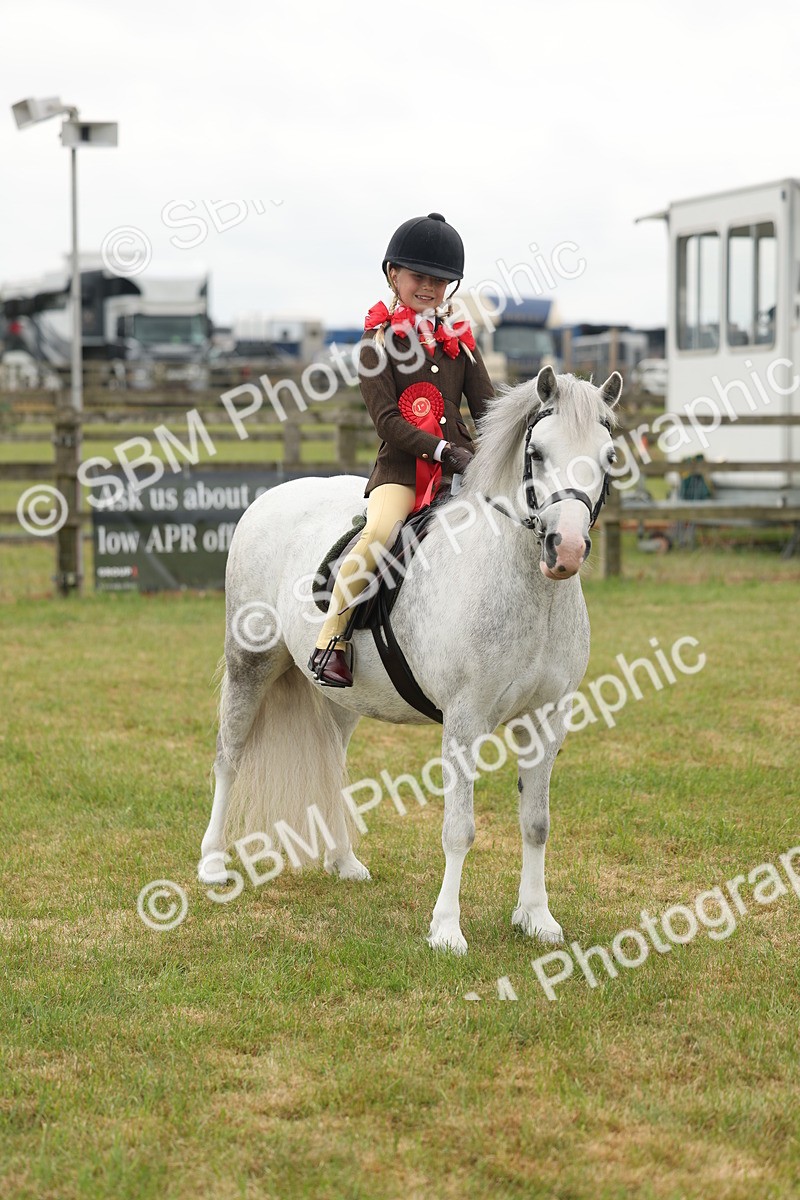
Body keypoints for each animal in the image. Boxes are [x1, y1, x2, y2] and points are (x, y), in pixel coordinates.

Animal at [198, 365, 622, 955]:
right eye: (536, 452)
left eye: (609, 456)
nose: (567, 549)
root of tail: (270, 498)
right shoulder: (464, 722)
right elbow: (459, 829)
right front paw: (446, 929)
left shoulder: (547, 720)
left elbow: (536, 823)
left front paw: (537, 918)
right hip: (250, 664)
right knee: (229, 755)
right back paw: (213, 864)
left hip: (342, 696)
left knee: (331, 763)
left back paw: (344, 861)